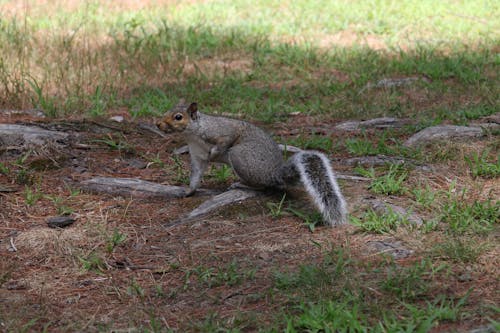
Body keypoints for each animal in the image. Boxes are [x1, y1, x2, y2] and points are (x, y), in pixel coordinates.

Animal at [157, 101, 348, 226]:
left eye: (178, 117)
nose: (158, 124)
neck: (193, 134)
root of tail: (274, 173)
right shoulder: (197, 156)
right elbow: (196, 175)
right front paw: (189, 191)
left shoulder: (223, 132)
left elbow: (225, 142)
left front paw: (215, 153)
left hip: (240, 155)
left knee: (261, 186)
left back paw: (240, 184)